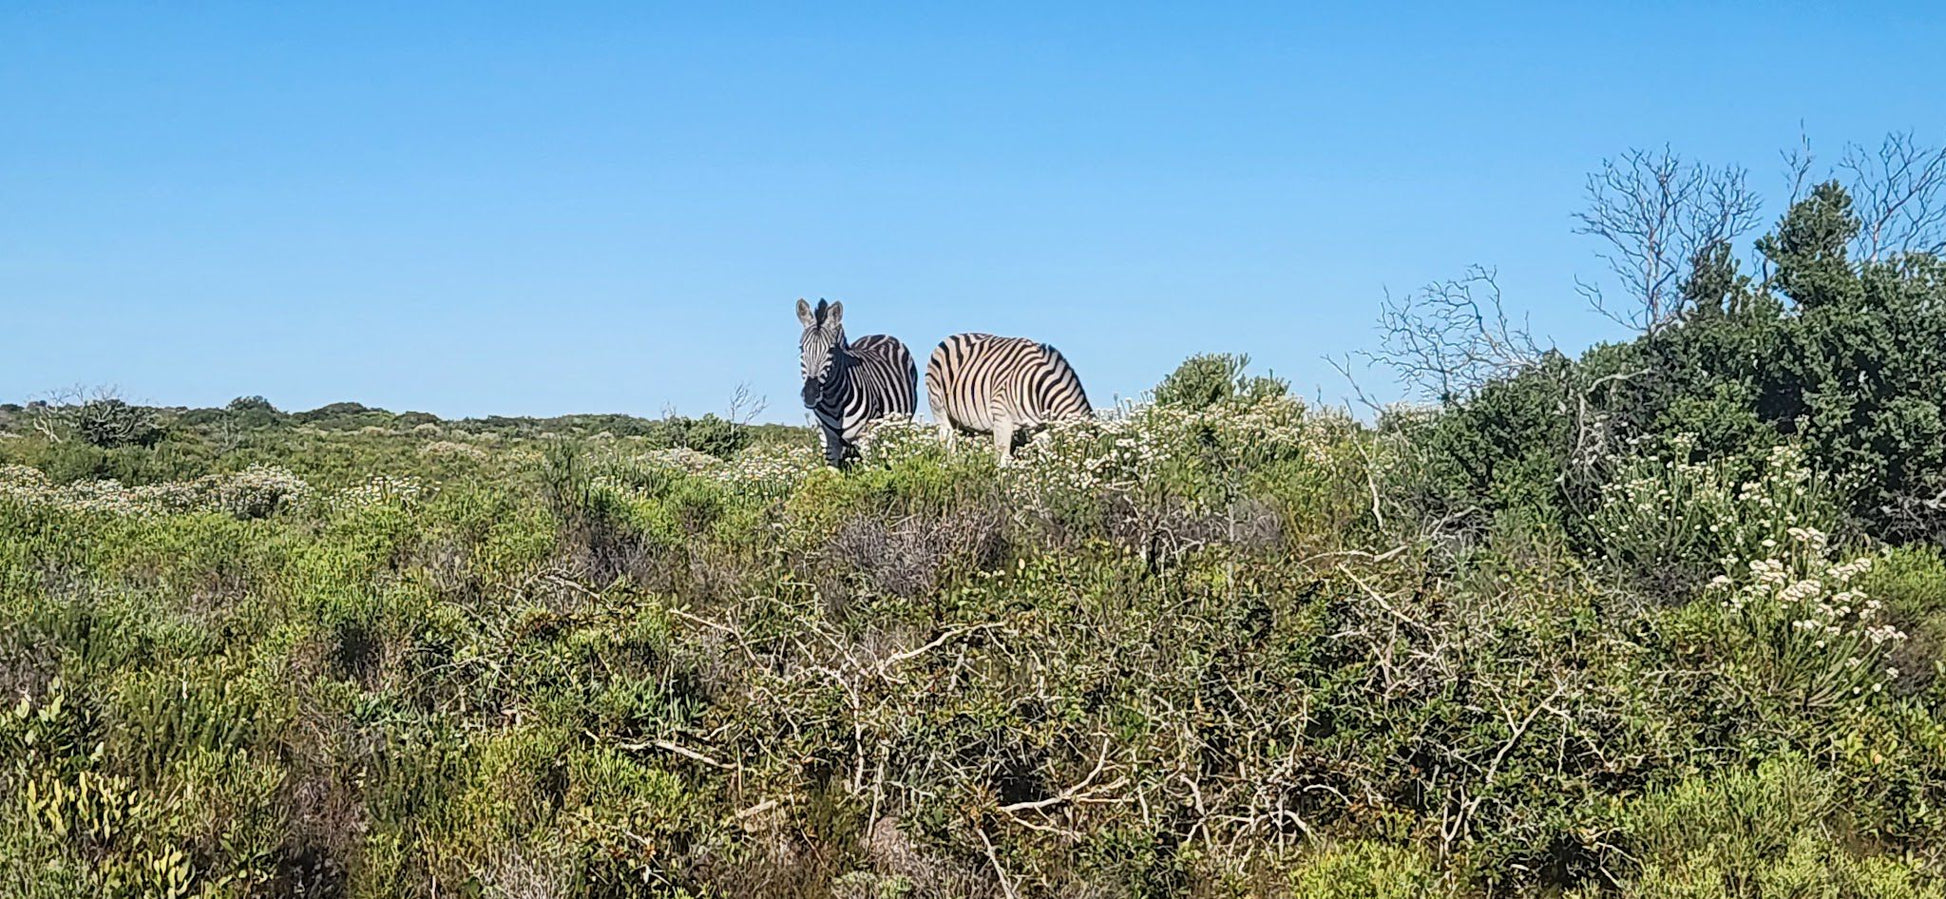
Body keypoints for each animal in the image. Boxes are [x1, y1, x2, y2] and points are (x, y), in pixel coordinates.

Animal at [793, 297, 914, 467]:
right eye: (801, 348)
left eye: (831, 350)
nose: (810, 394)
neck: (833, 403)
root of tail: (880, 334)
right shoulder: (827, 440)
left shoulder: (866, 438)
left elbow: (872, 472)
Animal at [926, 332, 1097, 463]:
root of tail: (949, 338)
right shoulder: (1001, 417)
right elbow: (1003, 459)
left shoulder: (1040, 428)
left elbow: (1043, 460)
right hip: (939, 407)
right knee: (947, 441)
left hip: (963, 421)